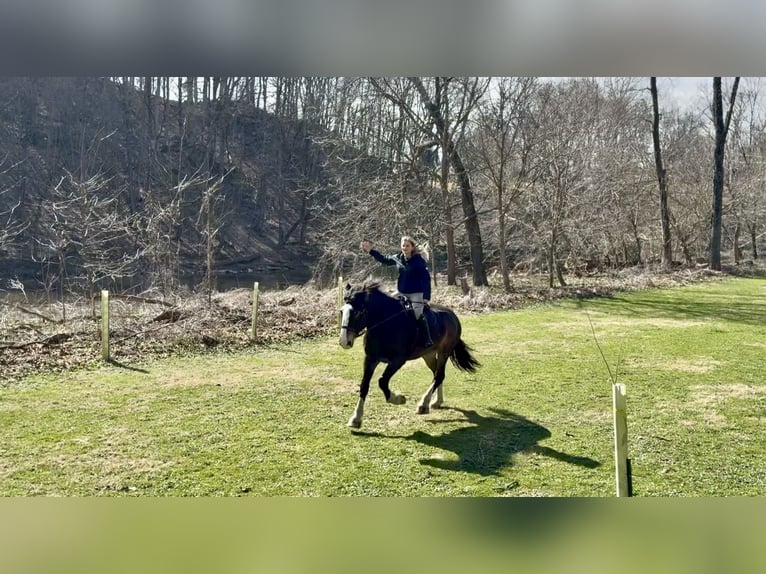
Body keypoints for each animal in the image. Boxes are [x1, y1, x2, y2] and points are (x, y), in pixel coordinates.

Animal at [339, 282, 480, 429]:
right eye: (341, 311)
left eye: (358, 313)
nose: (344, 342)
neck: (385, 324)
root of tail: (453, 316)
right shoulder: (370, 359)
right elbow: (364, 386)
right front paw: (356, 418)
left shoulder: (397, 361)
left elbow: (382, 381)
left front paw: (398, 399)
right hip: (428, 355)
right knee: (436, 374)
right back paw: (436, 402)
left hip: (443, 353)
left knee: (439, 375)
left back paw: (423, 404)